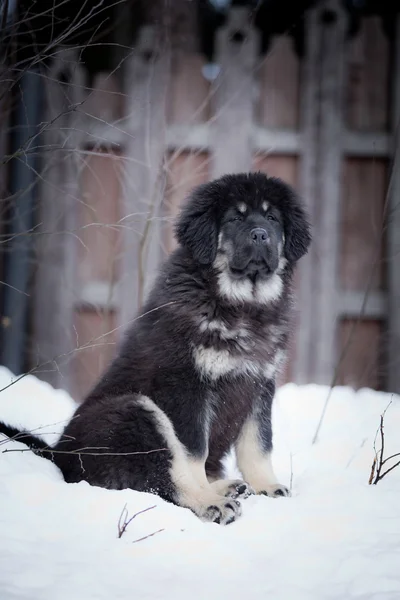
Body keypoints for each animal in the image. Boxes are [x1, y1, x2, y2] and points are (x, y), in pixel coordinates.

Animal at [0, 171, 310, 524]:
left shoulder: (259, 382)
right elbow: (193, 452)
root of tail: (59, 454)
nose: (260, 235)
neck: (242, 303)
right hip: (133, 411)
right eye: (234, 218)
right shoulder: (187, 384)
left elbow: (259, 441)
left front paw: (266, 486)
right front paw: (207, 496)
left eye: (272, 219)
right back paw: (211, 501)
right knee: (160, 479)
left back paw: (228, 487)